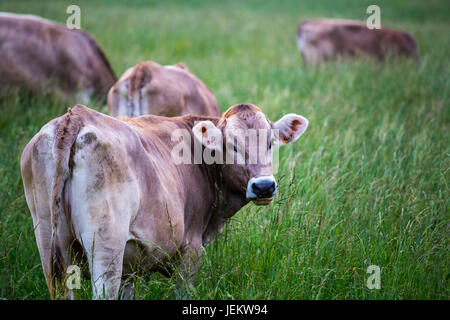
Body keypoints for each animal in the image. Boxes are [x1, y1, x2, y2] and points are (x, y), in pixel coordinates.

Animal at [21, 103, 310, 300]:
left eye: (271, 143)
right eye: (233, 145)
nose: (264, 186)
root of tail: (75, 117)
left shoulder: (130, 264)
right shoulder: (190, 249)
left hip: (49, 242)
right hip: (105, 247)